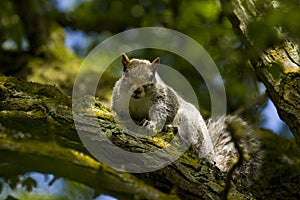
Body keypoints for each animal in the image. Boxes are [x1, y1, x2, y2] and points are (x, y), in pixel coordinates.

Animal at [111, 53, 262, 177]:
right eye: (126, 73)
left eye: (150, 77)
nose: (136, 90)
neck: (138, 101)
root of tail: (211, 154)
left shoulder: (166, 100)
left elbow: (162, 114)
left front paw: (151, 123)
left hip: (189, 122)